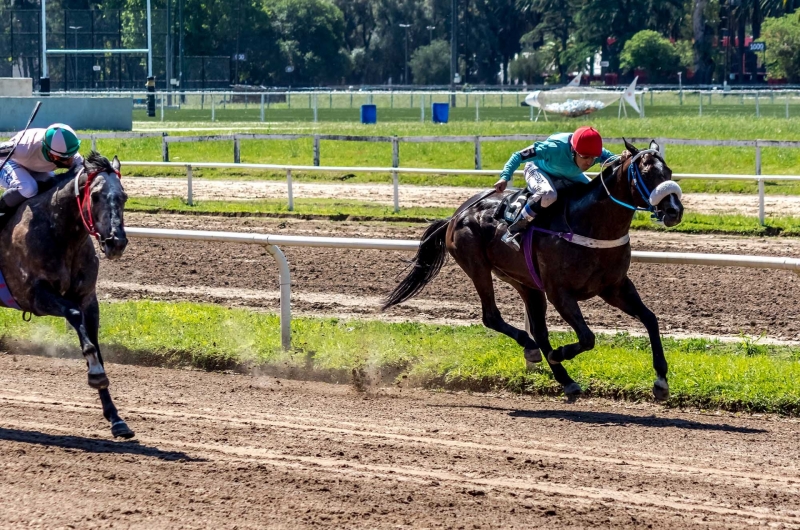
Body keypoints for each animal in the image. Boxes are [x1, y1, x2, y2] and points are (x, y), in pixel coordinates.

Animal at [0, 152, 133, 438]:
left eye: (124, 196)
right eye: (96, 196)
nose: (116, 242)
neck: (61, 234)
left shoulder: (88, 297)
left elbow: (95, 343)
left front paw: (116, 419)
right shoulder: (34, 295)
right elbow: (74, 316)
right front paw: (95, 372)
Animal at [384, 138, 684, 398]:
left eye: (668, 170)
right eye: (646, 172)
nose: (674, 211)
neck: (589, 223)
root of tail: (456, 215)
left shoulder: (615, 287)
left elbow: (650, 319)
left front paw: (661, 380)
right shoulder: (560, 292)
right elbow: (587, 337)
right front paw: (559, 353)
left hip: (525, 281)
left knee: (538, 330)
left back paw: (565, 379)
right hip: (477, 266)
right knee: (493, 317)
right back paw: (532, 349)